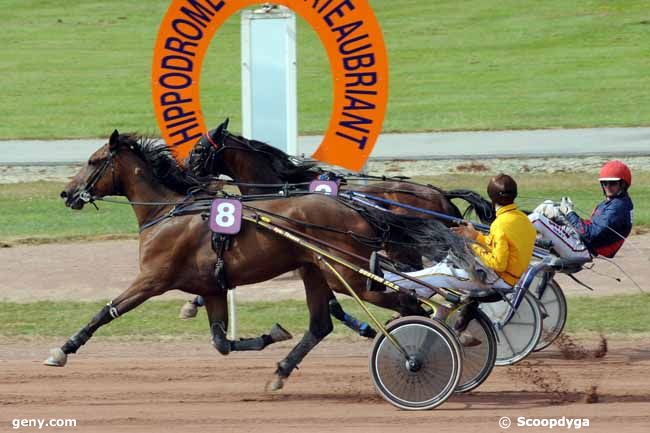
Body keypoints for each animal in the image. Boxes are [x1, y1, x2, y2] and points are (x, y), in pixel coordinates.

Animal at [48, 130, 470, 390]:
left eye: (93, 160)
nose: (66, 193)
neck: (169, 211)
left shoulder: (152, 279)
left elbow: (106, 312)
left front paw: (63, 350)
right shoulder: (212, 287)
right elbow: (221, 341)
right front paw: (272, 334)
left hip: (347, 270)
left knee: (413, 304)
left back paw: (424, 350)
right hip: (317, 269)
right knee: (322, 324)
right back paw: (281, 371)